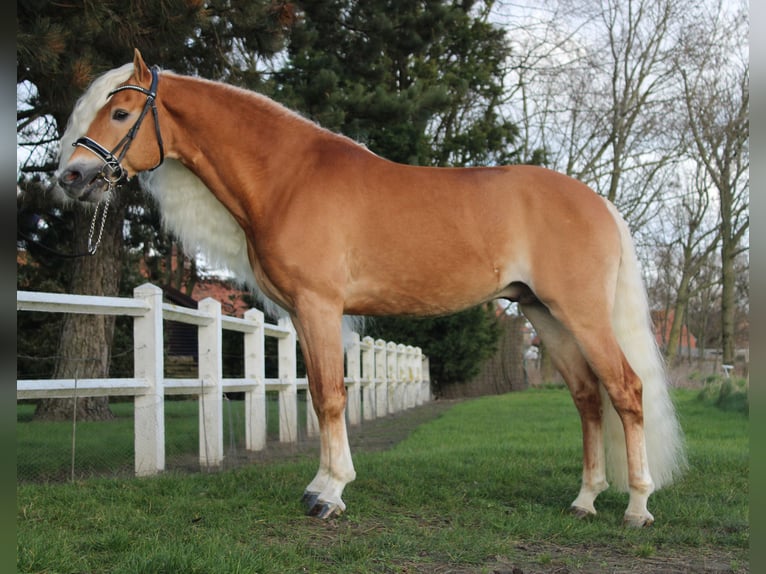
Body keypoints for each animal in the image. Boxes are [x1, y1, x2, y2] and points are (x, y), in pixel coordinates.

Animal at [57, 51, 688, 528]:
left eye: (120, 112)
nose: (71, 177)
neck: (289, 177)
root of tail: (597, 202)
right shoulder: (303, 313)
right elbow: (317, 394)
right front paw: (319, 487)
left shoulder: (320, 306)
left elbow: (331, 396)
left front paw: (331, 494)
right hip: (545, 316)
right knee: (587, 398)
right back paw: (584, 501)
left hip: (581, 313)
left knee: (625, 390)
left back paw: (636, 507)